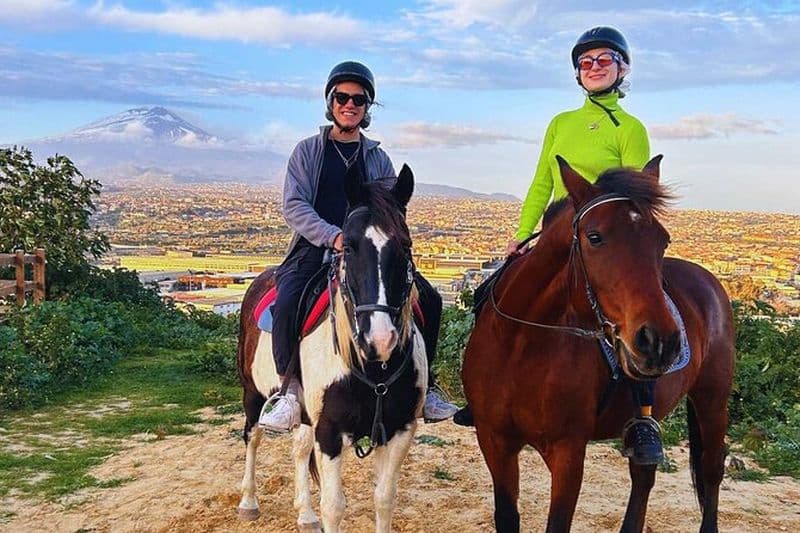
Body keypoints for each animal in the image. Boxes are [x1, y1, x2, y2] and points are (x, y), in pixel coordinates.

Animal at [236, 164, 428, 533]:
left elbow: (384, 499)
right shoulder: (329, 431)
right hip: (252, 391)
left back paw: (305, 514)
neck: (372, 370)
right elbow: (334, 506)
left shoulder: (399, 429)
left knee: (298, 448)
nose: (380, 340)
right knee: (252, 437)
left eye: (406, 245)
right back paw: (248, 502)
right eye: (349, 247)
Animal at [462, 156, 734, 532]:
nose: (661, 342)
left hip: (712, 398)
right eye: (594, 237)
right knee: (644, 475)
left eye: (662, 241)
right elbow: (506, 516)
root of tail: (709, 279)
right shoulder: (494, 441)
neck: (520, 344)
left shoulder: (568, 451)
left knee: (711, 467)